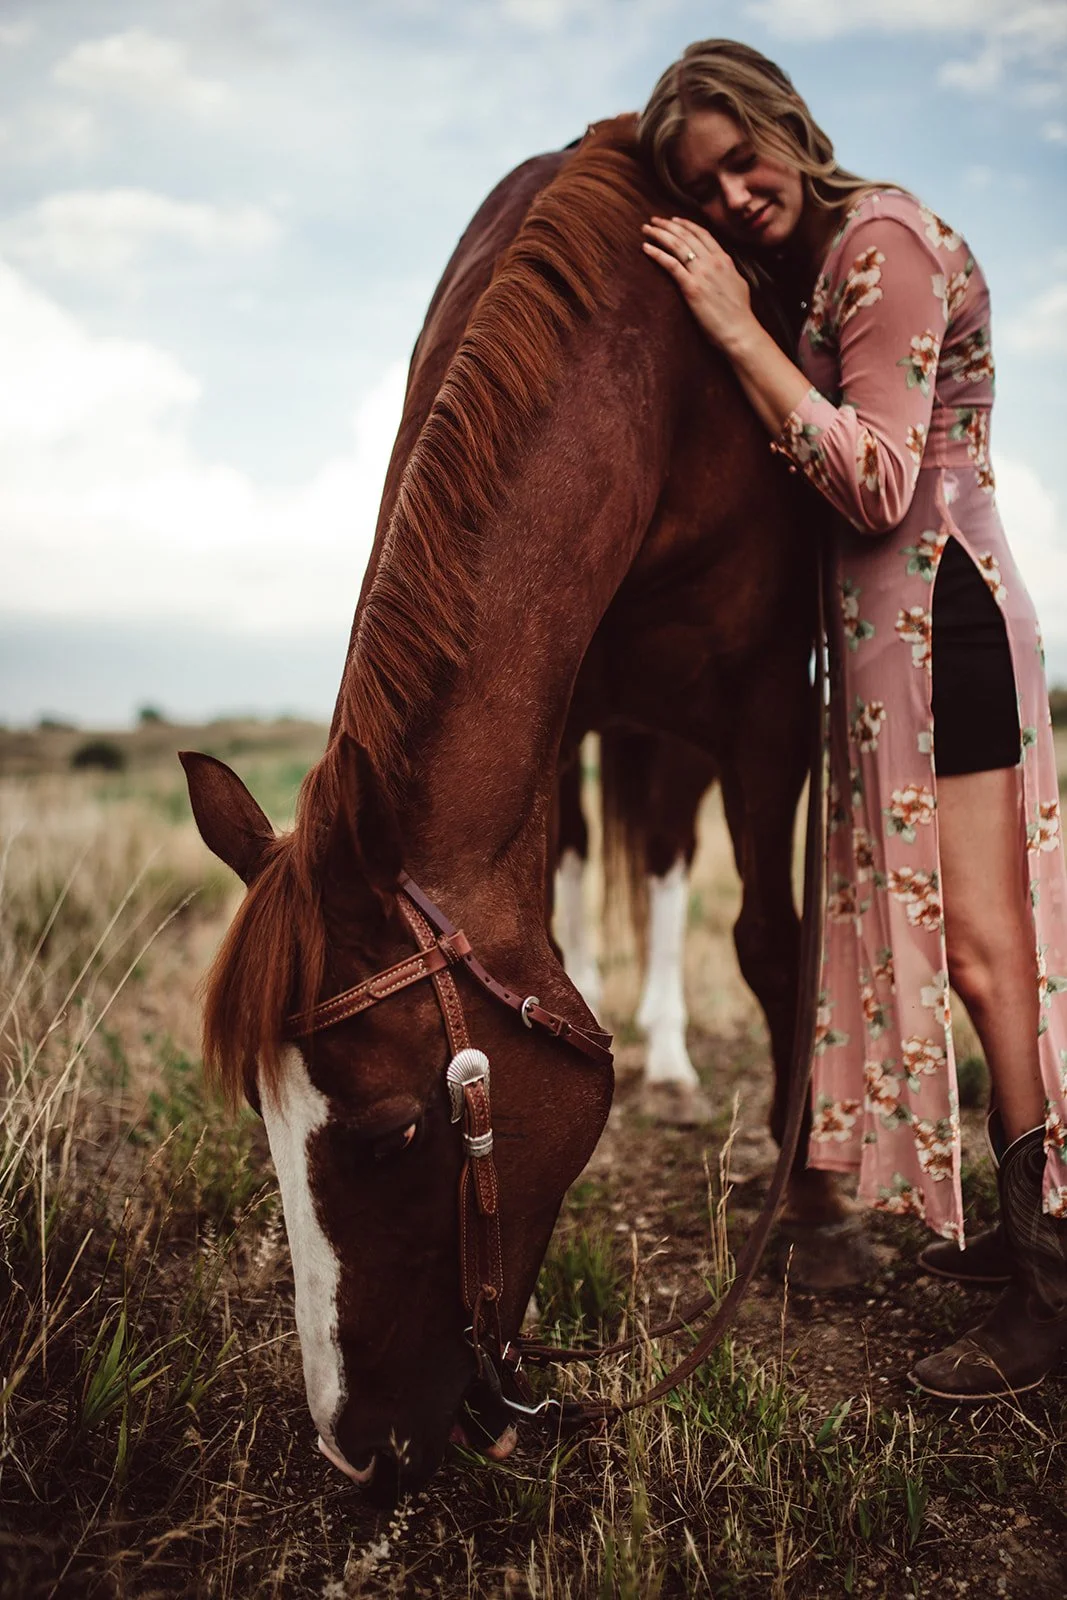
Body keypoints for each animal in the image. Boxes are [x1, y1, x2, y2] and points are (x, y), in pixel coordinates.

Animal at [179, 116, 834, 1500]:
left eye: (384, 1136)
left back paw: (677, 1062)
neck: (656, 376)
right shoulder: (565, 699)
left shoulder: (763, 698)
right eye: (259, 1119)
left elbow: (769, 938)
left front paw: (811, 1198)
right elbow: (567, 887)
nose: (353, 1450)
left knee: (671, 863)